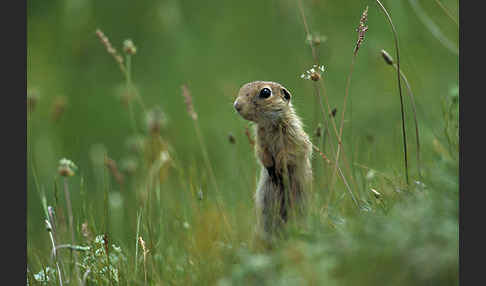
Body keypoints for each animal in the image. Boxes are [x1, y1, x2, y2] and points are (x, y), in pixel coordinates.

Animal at [234, 80, 314, 239]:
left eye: (265, 92)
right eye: (242, 88)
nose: (236, 105)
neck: (270, 125)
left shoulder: (293, 135)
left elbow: (289, 153)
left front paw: (279, 169)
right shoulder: (260, 140)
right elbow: (261, 153)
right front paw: (271, 169)